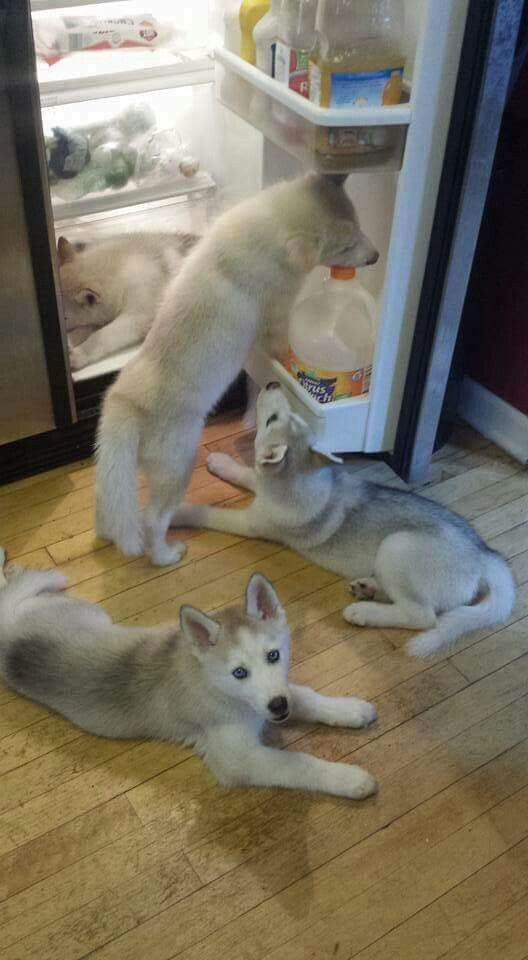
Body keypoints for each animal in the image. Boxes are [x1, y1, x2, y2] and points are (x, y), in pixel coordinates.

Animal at [1, 552, 380, 800]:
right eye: (239, 672)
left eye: (273, 655)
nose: (277, 708)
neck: (215, 687)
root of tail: (9, 630)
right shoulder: (238, 759)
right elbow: (298, 763)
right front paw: (349, 779)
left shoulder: (276, 694)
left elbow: (306, 696)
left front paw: (349, 709)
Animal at [57, 231, 198, 370]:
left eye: (64, 318)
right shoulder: (97, 319)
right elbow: (86, 329)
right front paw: (69, 341)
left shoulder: (136, 317)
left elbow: (102, 335)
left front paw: (80, 353)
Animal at [96, 174, 380, 564]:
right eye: (344, 247)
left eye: (361, 227)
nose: (376, 256)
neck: (268, 229)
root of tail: (126, 403)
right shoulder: (276, 315)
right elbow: (281, 344)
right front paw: (293, 360)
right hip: (177, 467)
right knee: (154, 520)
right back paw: (168, 555)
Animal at [170, 386, 516, 656]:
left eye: (270, 421)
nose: (270, 383)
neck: (293, 480)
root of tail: (484, 555)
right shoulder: (261, 486)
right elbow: (247, 473)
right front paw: (221, 462)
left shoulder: (252, 522)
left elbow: (207, 512)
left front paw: (177, 512)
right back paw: (368, 588)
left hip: (397, 547)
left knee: (423, 616)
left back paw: (364, 611)